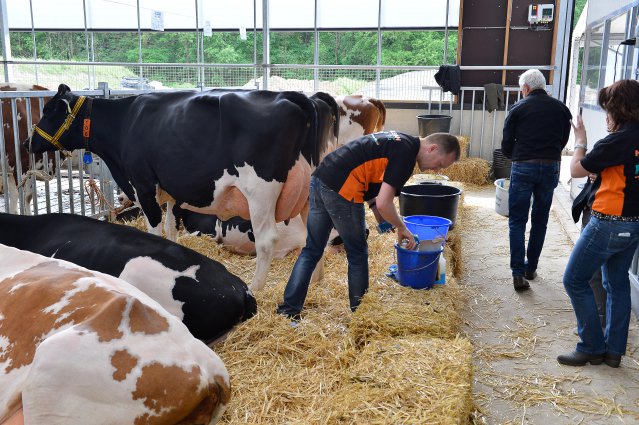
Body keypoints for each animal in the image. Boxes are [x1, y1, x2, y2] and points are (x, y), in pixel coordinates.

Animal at [25, 86, 340, 292]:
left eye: (49, 111)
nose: (28, 143)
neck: (124, 123)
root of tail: (297, 96)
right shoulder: (170, 192)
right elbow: (171, 228)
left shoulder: (144, 184)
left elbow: (154, 229)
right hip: (310, 192)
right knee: (315, 235)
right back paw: (315, 281)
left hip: (260, 192)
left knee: (266, 241)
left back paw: (256, 288)